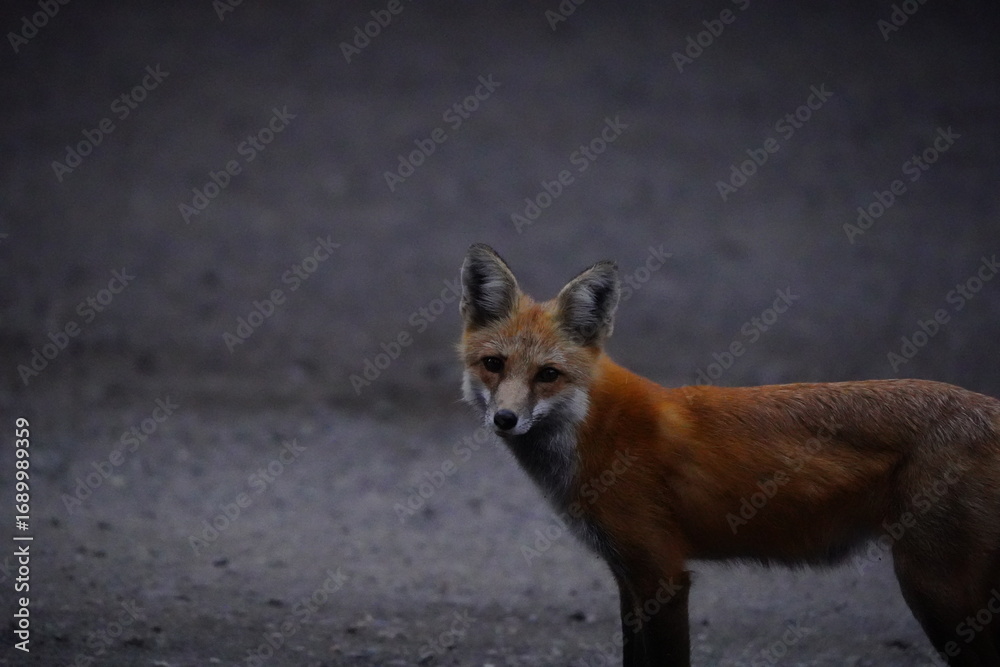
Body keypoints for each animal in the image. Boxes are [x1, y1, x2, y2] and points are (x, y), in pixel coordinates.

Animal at [457, 243, 1000, 667]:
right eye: (493, 364)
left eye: (548, 375)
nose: (504, 419)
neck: (600, 430)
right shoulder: (626, 576)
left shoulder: (662, 575)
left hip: (935, 591)